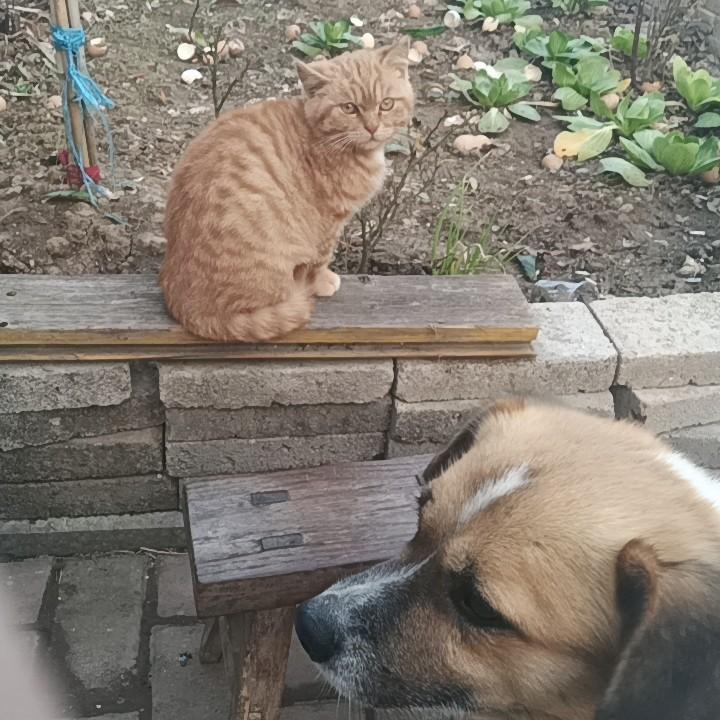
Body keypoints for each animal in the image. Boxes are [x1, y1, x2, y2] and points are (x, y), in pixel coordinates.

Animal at [160, 40, 414, 342]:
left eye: (386, 104)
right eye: (349, 108)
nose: (372, 127)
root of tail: (183, 304)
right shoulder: (328, 221)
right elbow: (321, 258)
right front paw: (323, 281)